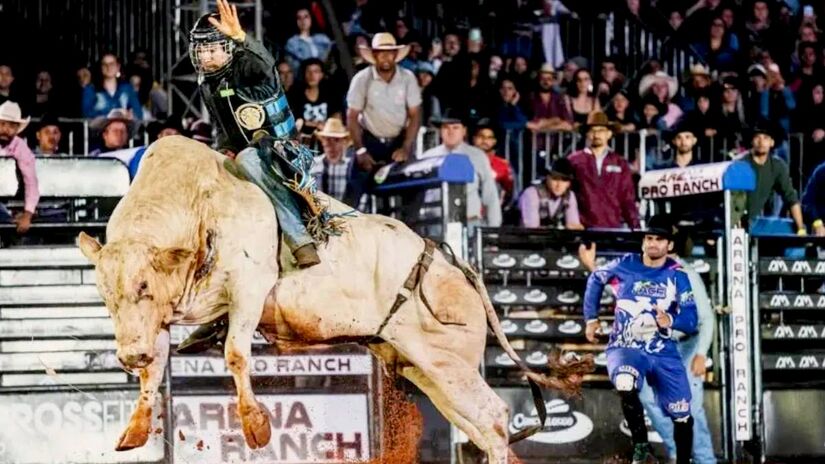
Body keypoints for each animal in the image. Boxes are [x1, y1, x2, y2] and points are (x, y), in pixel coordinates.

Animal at [79, 136, 592, 462]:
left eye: (143, 287)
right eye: (106, 295)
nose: (127, 354)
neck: (195, 206)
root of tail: (455, 265)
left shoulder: (247, 289)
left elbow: (236, 353)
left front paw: (256, 426)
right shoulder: (159, 320)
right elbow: (155, 370)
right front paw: (136, 430)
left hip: (447, 361)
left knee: (493, 418)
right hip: (425, 369)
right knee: (480, 427)